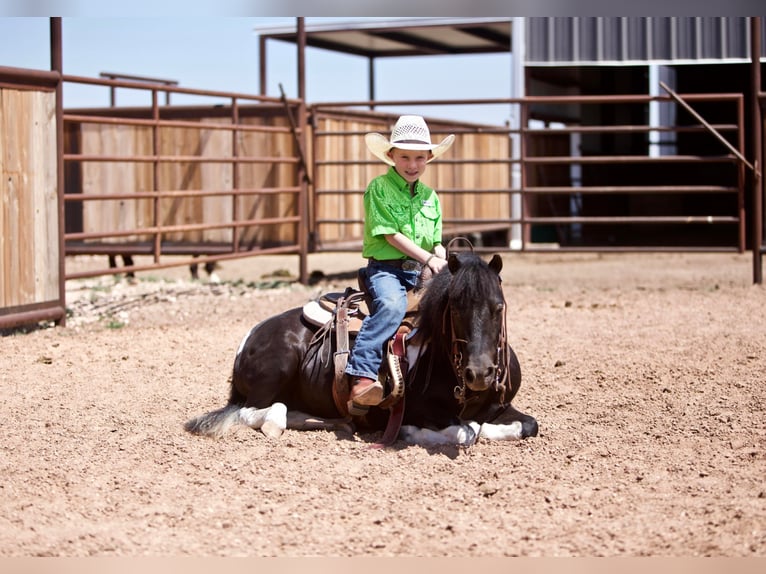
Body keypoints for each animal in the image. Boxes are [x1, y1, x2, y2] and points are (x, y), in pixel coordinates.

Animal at [184, 250, 540, 448]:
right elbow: (467, 430)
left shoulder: (499, 406)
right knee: (256, 412)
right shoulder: (421, 410)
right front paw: (412, 433)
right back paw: (277, 420)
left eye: (498, 306)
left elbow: (527, 425)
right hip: (277, 368)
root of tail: (248, 339)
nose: (479, 373)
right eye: (454, 308)